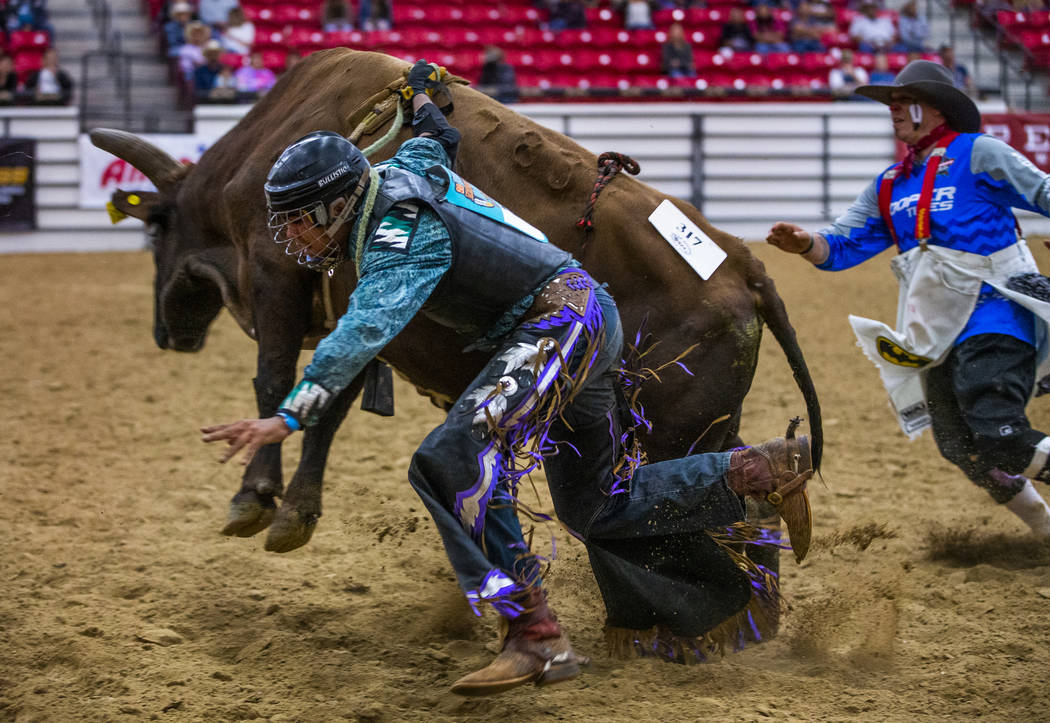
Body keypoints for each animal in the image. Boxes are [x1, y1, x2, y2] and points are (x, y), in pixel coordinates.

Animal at [92, 49, 818, 570]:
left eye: (154, 230)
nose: (167, 331)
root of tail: (743, 263)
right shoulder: (361, 312)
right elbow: (330, 406)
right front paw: (296, 512)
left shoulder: (279, 283)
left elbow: (274, 382)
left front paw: (253, 496)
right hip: (703, 425)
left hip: (674, 430)